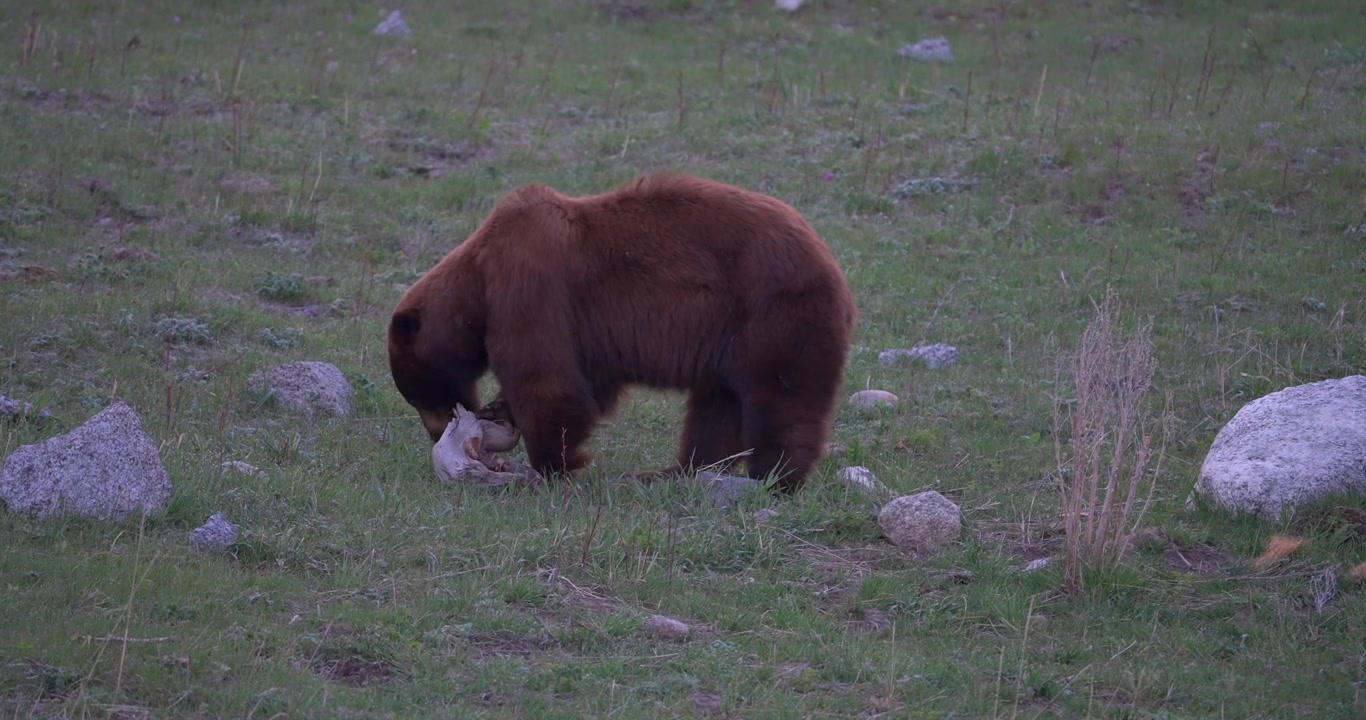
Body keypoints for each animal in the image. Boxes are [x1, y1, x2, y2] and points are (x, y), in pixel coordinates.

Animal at [387, 172, 857, 493]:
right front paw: (502, 411)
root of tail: (832, 264)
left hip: (774, 314)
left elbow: (547, 379)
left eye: (418, 395)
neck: (477, 278)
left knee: (780, 397)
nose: (434, 433)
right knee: (716, 406)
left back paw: (774, 478)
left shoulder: (527, 285)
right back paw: (675, 472)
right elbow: (589, 381)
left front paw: (550, 465)